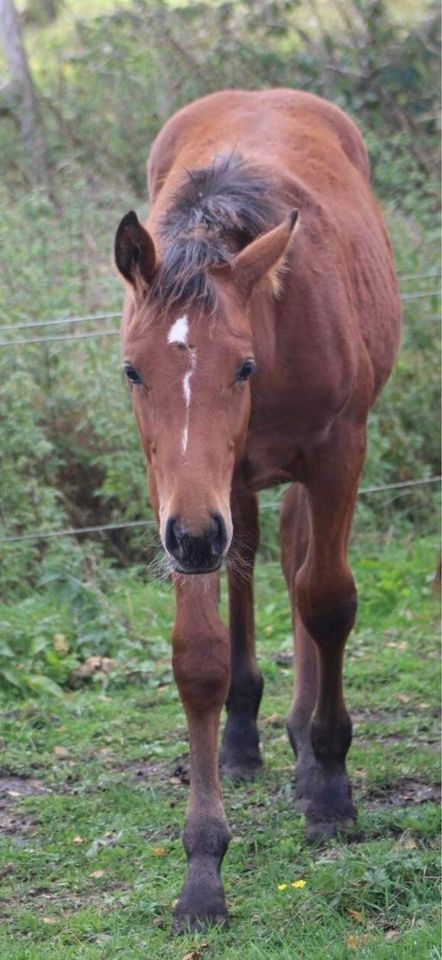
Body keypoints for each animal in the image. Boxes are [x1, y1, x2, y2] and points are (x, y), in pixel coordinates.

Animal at [115, 88, 400, 928]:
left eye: (241, 366)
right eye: (132, 371)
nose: (191, 540)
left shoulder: (338, 452)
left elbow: (326, 600)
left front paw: (331, 789)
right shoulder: (180, 495)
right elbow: (199, 656)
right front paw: (202, 871)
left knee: (296, 563)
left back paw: (305, 744)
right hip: (227, 489)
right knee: (246, 567)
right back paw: (243, 739)